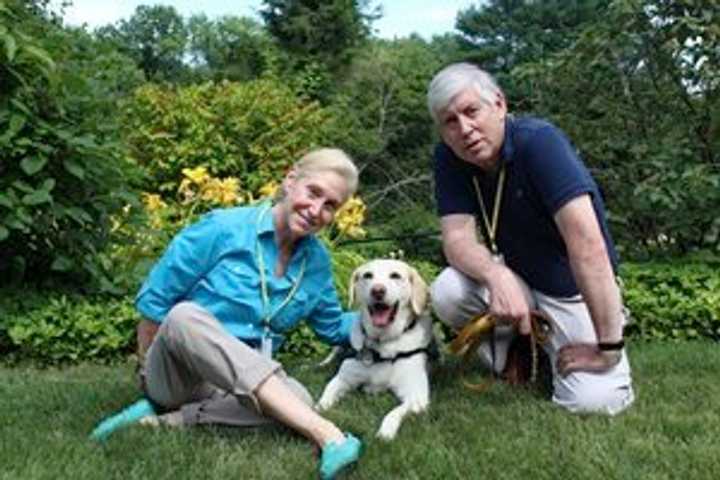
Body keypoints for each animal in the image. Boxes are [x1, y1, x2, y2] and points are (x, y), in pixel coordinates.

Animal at [316, 260, 434, 440]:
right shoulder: (344, 378)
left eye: (395, 275)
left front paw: (386, 432)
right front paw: (318, 409)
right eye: (368, 275)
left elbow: (395, 412)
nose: (377, 290)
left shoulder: (416, 396)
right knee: (335, 350)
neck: (383, 341)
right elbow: (326, 395)